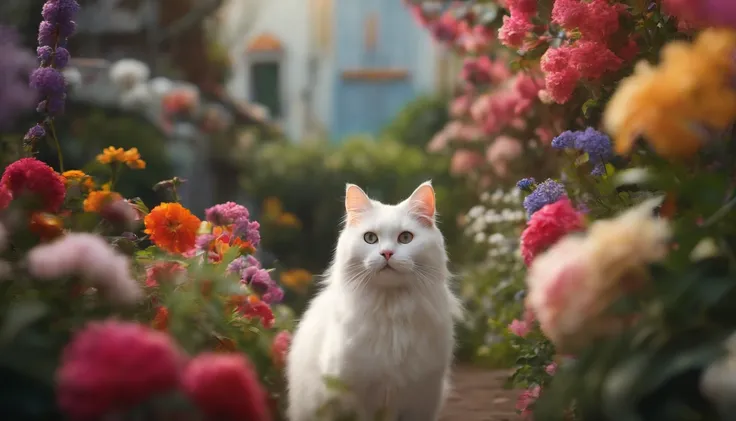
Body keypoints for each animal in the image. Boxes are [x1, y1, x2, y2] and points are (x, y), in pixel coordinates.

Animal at [284, 181, 458, 420]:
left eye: (405, 238)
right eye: (370, 238)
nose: (386, 253)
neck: (391, 309)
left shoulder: (422, 396)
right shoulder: (354, 394)